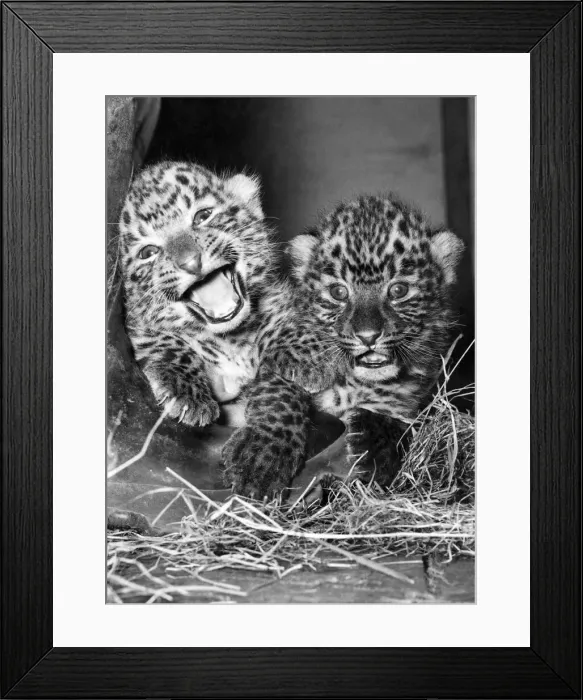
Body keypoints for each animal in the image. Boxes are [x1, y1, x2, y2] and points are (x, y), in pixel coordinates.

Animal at [118, 161, 339, 494]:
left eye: (202, 216)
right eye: (148, 253)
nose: (191, 262)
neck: (231, 339)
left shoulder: (281, 300)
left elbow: (280, 387)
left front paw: (262, 455)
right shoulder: (136, 322)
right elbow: (161, 338)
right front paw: (187, 392)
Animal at [225, 193, 465, 497]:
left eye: (398, 290)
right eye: (338, 292)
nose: (368, 336)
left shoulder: (410, 399)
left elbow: (397, 421)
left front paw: (374, 452)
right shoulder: (287, 353)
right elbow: (280, 392)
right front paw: (261, 458)